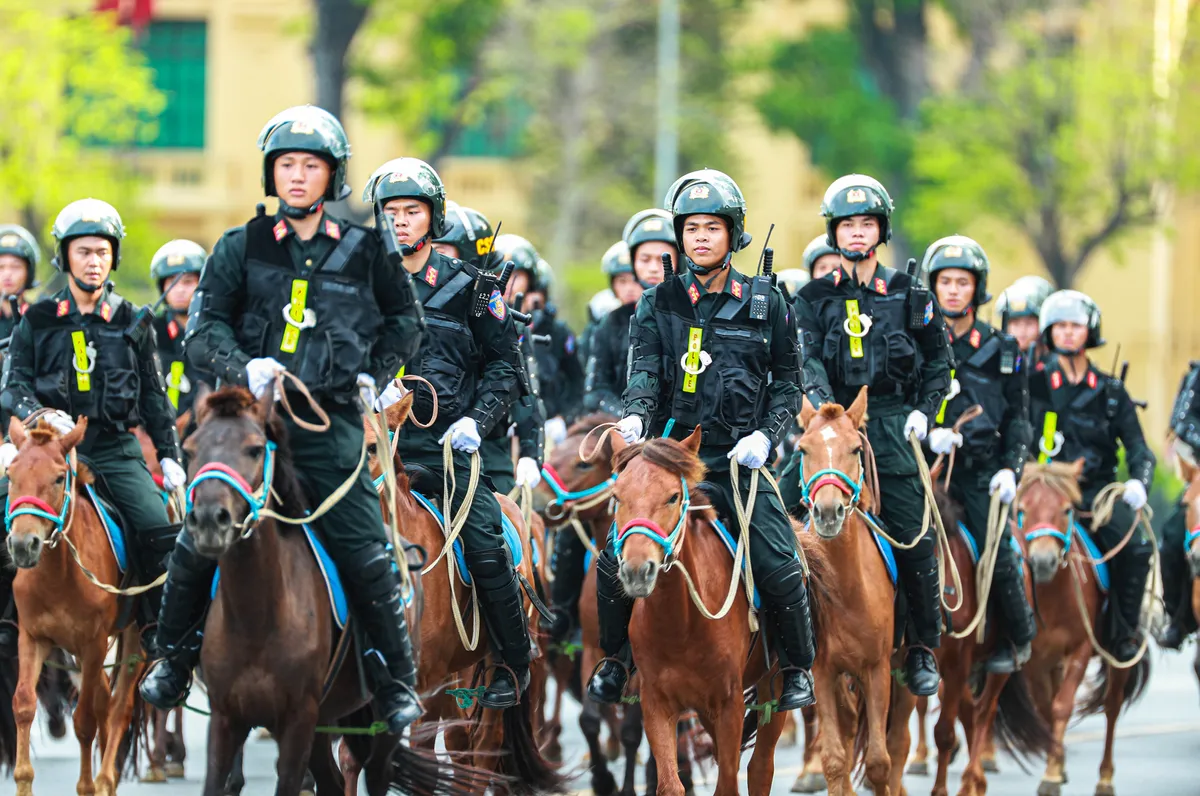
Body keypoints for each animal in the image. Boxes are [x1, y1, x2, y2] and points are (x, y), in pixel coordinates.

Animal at [3, 417, 142, 796]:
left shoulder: (93, 644)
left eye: (57, 478)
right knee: (105, 699)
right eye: (10, 474)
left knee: (118, 707)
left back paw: (106, 780)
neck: (58, 575)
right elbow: (23, 704)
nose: (23, 544)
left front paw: (87, 786)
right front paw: (23, 781)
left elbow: (84, 721)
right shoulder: (32, 637)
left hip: (133, 639)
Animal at [609, 422, 835, 796]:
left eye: (672, 496)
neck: (681, 623)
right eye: (617, 497)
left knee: (760, 768)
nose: (638, 570)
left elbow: (729, 782)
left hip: (772, 687)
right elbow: (670, 784)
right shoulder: (657, 703)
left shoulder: (729, 703)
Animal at [1012, 461, 1152, 796]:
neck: (1052, 595)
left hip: (1117, 657)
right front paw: (1057, 765)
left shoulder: (1080, 649)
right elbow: (1045, 708)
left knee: (1112, 706)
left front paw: (1051, 774)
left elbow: (1062, 706)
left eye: (1066, 510)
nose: (1043, 561)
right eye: (1022, 509)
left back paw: (1105, 778)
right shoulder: (1035, 662)